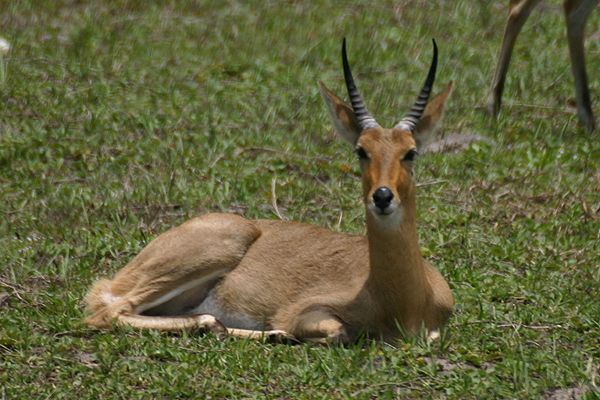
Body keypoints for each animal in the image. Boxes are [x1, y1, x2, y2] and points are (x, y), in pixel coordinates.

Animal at [82, 39, 452, 344]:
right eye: (361, 150)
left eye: (410, 152)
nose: (382, 196)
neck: (401, 303)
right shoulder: (306, 312)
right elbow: (337, 332)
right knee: (107, 313)